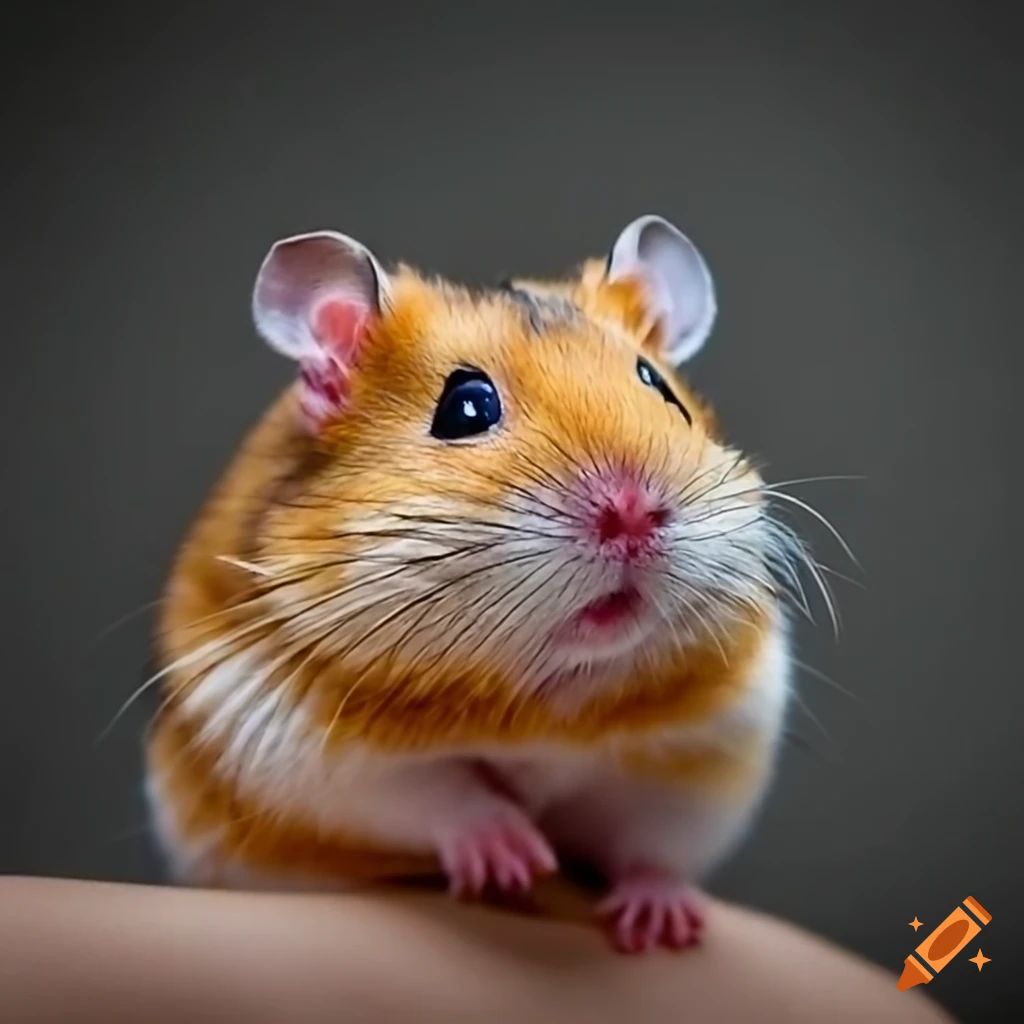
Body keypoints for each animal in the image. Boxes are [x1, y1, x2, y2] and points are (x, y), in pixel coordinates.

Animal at [145, 214, 798, 954]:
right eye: (466, 407)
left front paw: (663, 927)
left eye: (659, 387)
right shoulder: (314, 751)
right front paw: (516, 862)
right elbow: (441, 795)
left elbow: (653, 843)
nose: (635, 513)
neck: (554, 698)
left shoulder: (705, 754)